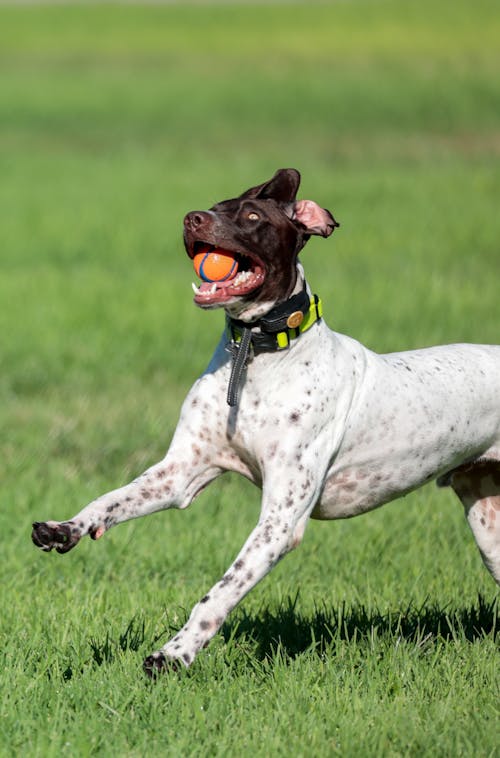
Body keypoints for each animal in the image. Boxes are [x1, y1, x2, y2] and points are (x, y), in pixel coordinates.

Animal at [32, 169, 500, 672]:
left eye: (253, 216)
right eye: (216, 205)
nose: (192, 218)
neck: (257, 354)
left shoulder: (279, 521)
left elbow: (218, 593)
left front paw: (174, 654)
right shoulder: (179, 473)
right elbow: (111, 499)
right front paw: (66, 528)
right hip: (488, 521)